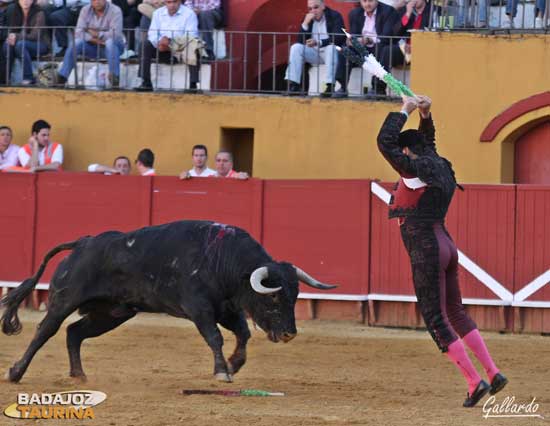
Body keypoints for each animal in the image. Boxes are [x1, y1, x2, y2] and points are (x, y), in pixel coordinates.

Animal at [0, 220, 338, 382]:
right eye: (274, 298)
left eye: (295, 296)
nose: (289, 333)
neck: (223, 259)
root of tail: (83, 242)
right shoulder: (200, 308)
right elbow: (214, 337)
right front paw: (222, 371)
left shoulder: (227, 309)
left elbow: (242, 334)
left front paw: (233, 364)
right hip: (65, 299)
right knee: (46, 331)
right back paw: (15, 373)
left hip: (113, 312)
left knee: (75, 332)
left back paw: (79, 375)